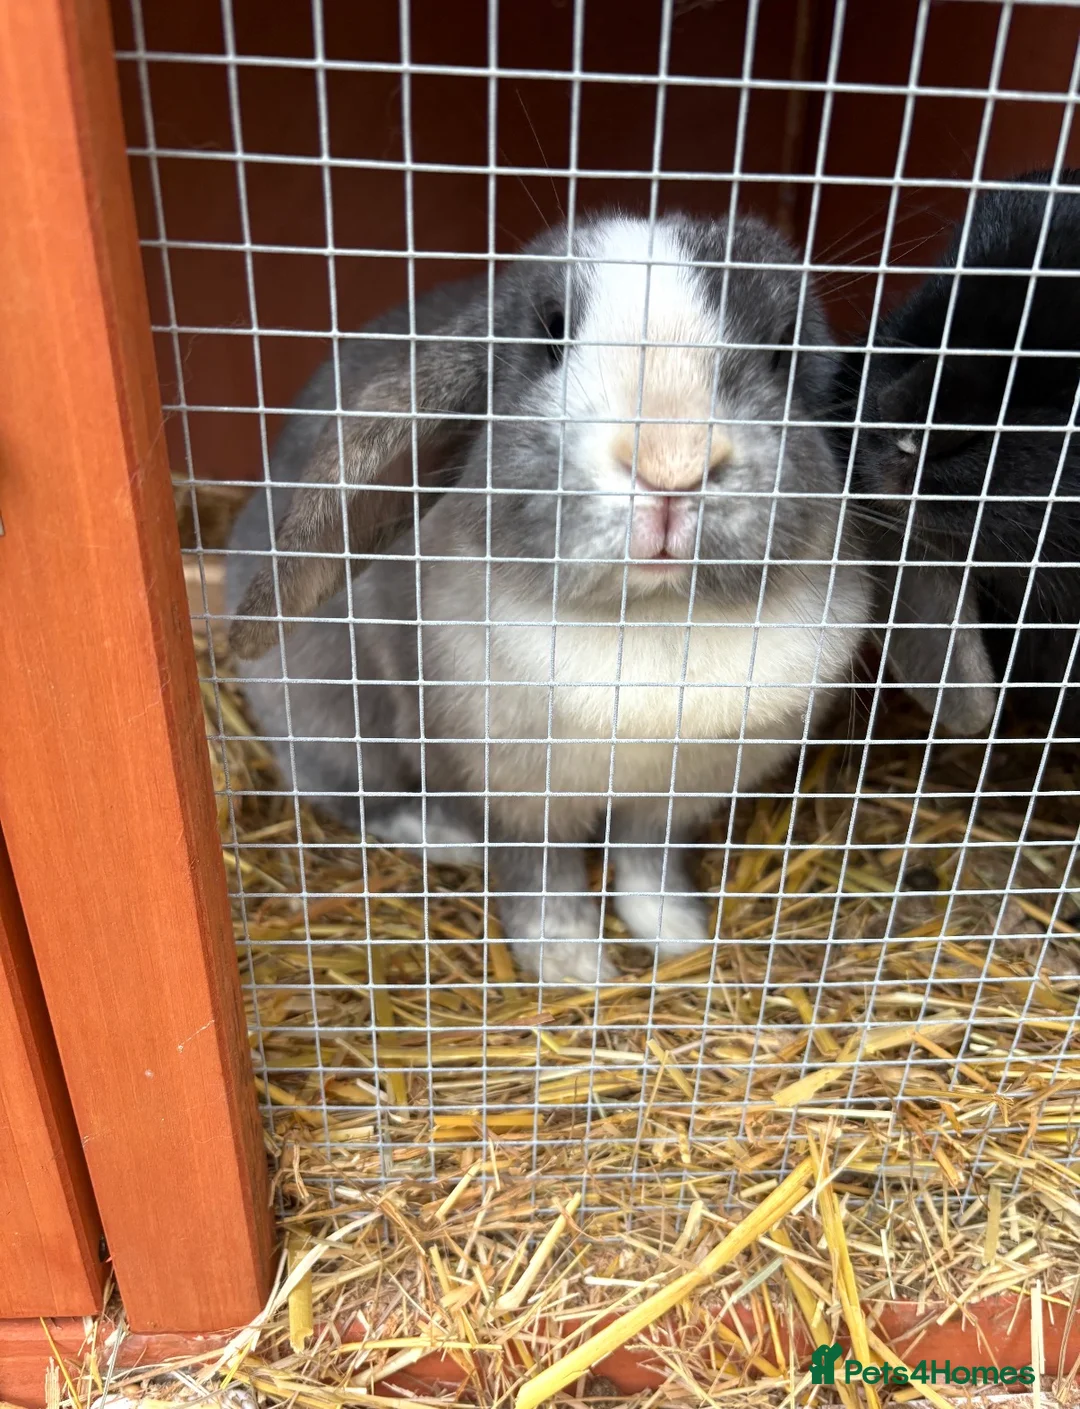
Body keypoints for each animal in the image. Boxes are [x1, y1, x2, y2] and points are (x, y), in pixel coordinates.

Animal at [226, 212, 872, 986]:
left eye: (781, 352)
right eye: (553, 335)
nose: (672, 464)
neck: (651, 618)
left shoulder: (672, 801)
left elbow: (648, 867)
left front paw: (679, 939)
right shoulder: (517, 797)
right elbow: (542, 881)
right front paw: (572, 969)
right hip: (337, 716)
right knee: (354, 794)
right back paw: (444, 837)